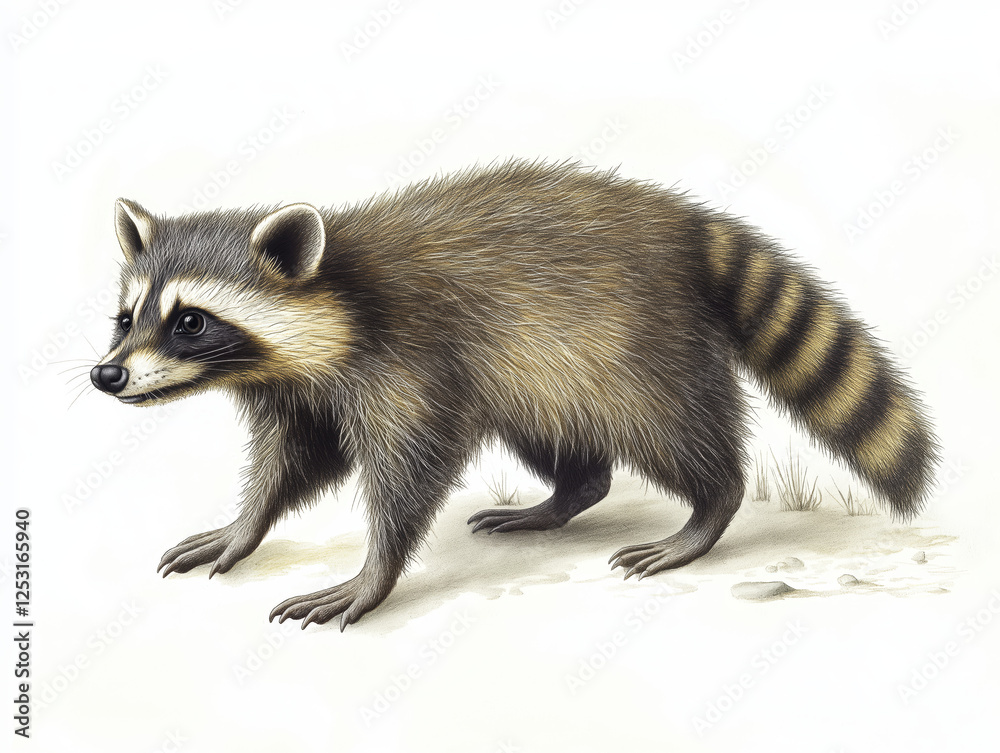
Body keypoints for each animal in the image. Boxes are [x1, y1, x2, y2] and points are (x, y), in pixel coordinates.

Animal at [90, 160, 938, 629]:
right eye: (126, 318)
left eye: (191, 321)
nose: (107, 374)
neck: (341, 290)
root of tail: (687, 223)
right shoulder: (302, 393)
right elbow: (292, 464)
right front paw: (245, 526)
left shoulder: (410, 358)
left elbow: (409, 472)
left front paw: (374, 572)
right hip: (539, 374)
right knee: (565, 445)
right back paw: (560, 497)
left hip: (631, 342)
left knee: (676, 429)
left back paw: (708, 507)